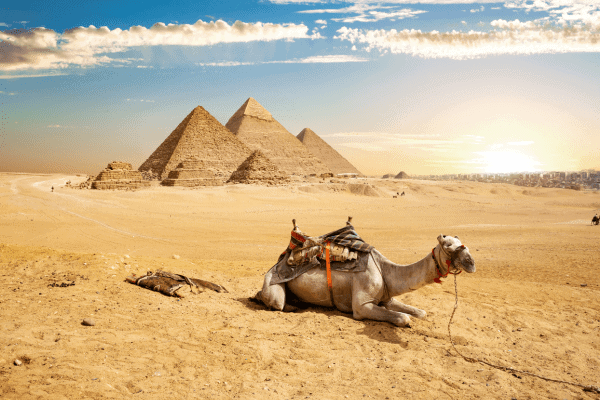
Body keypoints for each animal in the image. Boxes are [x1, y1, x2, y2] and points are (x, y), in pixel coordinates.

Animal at [255, 230, 476, 326]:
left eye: (462, 242)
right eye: (448, 245)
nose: (471, 262)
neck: (385, 269)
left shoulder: (386, 296)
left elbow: (420, 312)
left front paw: (417, 314)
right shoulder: (362, 306)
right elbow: (403, 317)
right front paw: (406, 319)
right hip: (272, 283)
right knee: (276, 302)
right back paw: (293, 306)